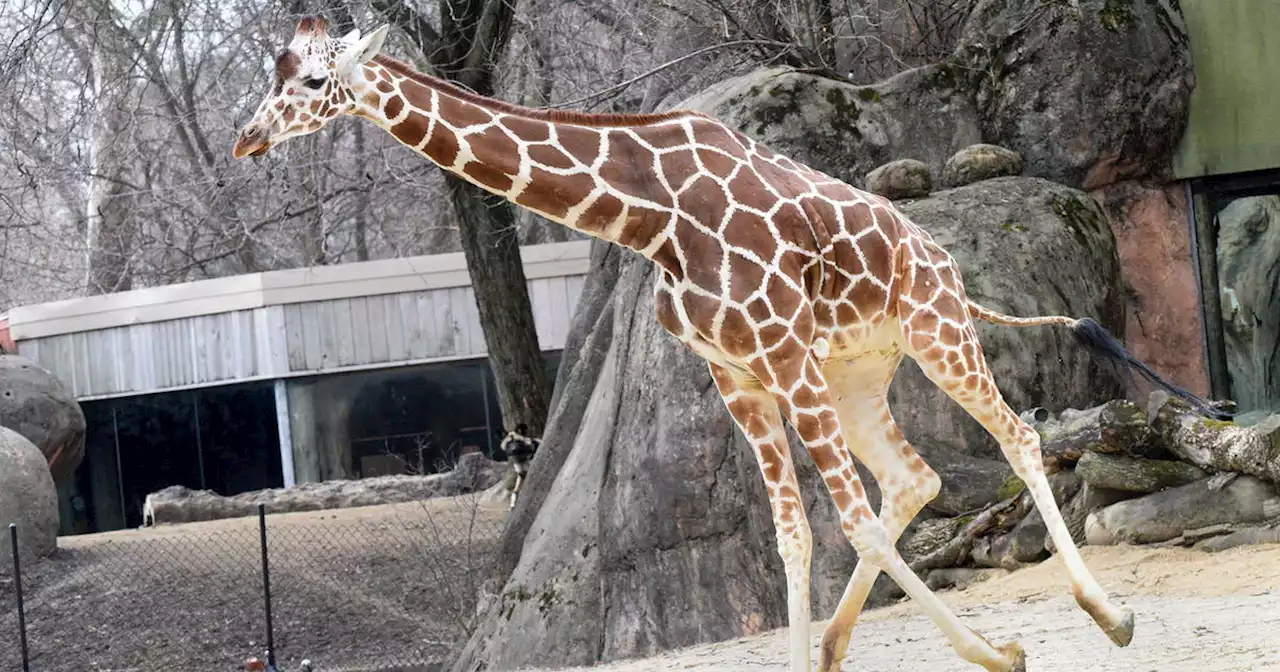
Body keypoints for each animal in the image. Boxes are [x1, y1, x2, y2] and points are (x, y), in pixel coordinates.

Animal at [235, 17, 1223, 670]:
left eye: (314, 84)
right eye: (270, 76)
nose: (247, 138)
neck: (650, 219)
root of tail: (940, 254)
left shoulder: (780, 354)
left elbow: (851, 524)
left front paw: (1002, 653)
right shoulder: (736, 375)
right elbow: (793, 534)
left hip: (935, 333)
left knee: (1013, 438)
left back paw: (1111, 618)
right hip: (857, 371)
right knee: (917, 476)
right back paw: (838, 646)